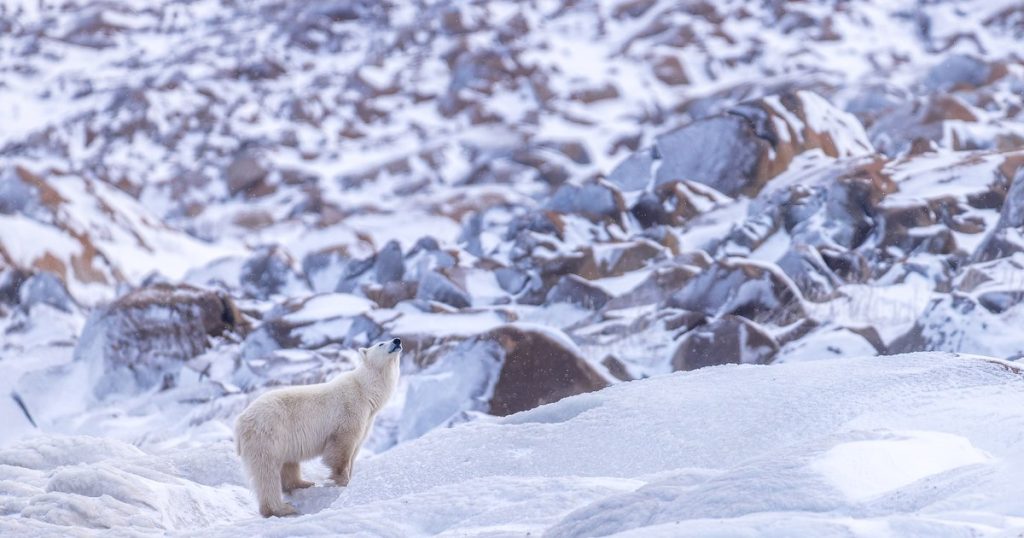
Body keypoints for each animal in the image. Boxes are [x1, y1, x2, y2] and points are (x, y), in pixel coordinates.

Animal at [235, 337, 402, 517]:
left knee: (288, 464)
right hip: (267, 434)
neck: (365, 390)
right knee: (266, 472)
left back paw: (304, 483)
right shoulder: (349, 411)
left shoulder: (367, 420)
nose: (397, 340)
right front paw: (342, 481)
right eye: (381, 344)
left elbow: (355, 450)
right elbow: (342, 448)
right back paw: (281, 508)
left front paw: (350, 478)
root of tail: (240, 420)